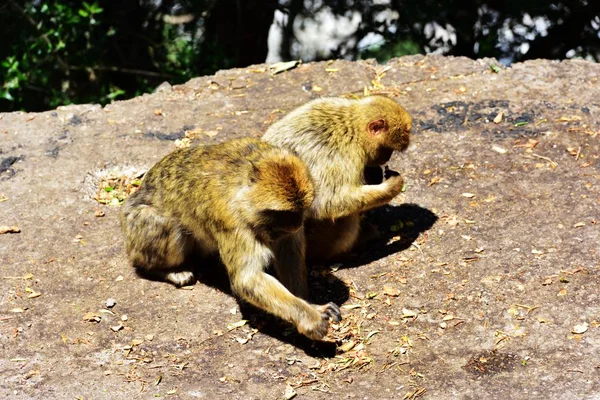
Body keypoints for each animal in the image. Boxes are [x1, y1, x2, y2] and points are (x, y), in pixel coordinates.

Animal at [120, 138, 342, 340]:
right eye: (283, 215)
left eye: (297, 213)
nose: (295, 225)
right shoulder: (232, 220)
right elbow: (247, 279)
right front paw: (309, 318)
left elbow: (289, 255)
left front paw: (311, 305)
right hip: (137, 230)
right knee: (167, 227)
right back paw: (164, 270)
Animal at [262, 95, 412, 260]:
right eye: (387, 149)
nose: (387, 158)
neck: (352, 126)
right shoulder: (343, 153)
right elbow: (329, 202)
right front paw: (393, 186)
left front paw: (374, 172)